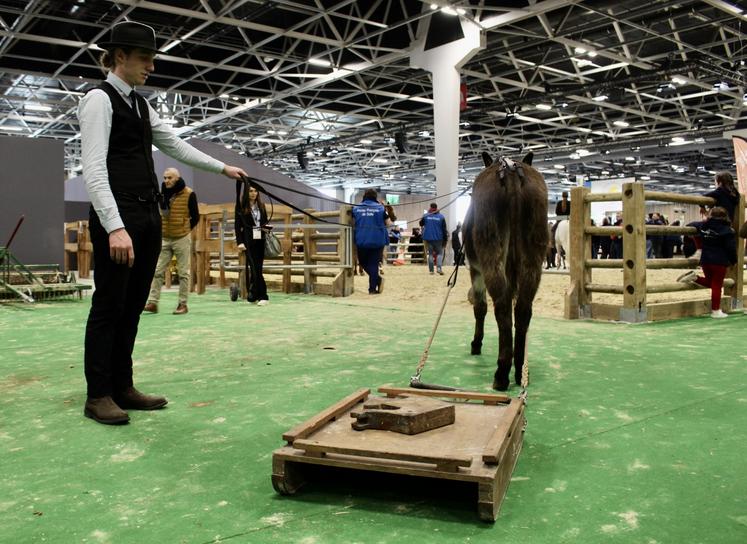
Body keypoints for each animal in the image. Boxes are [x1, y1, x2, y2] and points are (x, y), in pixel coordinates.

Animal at [464, 153, 548, 392]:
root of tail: (509, 171)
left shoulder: (475, 270)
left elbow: (480, 307)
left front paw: (476, 344)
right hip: (533, 257)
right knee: (522, 309)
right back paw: (519, 370)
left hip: (491, 250)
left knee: (501, 307)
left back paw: (501, 373)